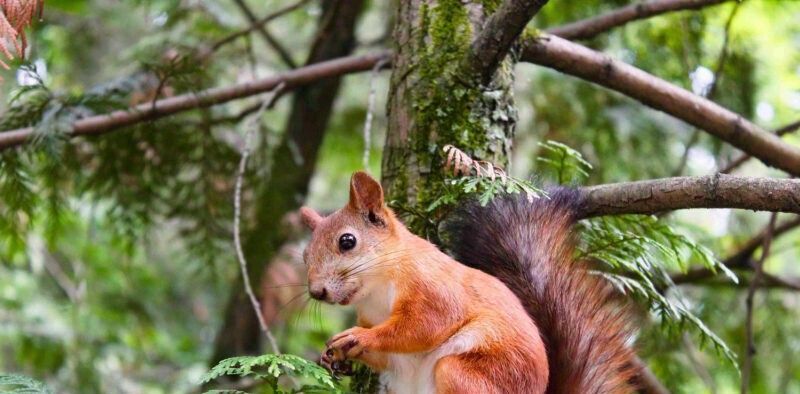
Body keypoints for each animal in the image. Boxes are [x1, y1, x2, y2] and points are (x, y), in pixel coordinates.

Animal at [300, 171, 636, 392]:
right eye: (304, 255)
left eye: (347, 241)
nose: (317, 292)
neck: (377, 290)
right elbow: (390, 355)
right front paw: (335, 356)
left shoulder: (433, 288)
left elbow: (422, 326)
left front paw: (359, 338)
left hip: (469, 375)